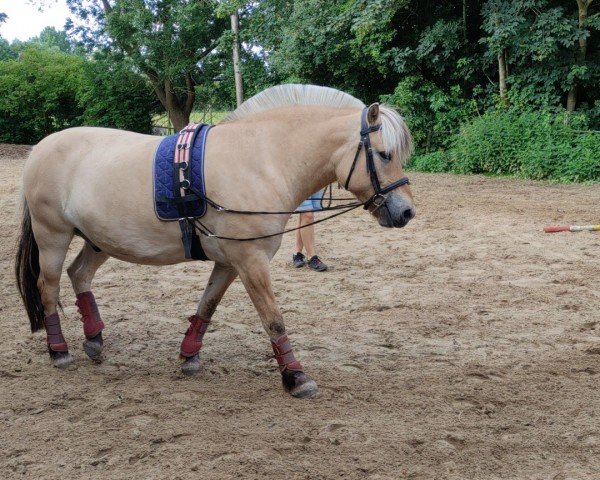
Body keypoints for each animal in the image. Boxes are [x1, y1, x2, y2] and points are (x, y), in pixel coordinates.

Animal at [15, 85, 418, 398]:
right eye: (384, 154)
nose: (406, 211)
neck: (262, 160)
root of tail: (39, 148)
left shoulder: (229, 262)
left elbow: (207, 306)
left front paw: (190, 355)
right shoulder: (251, 260)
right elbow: (273, 319)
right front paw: (296, 376)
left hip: (99, 240)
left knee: (79, 274)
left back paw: (94, 339)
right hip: (53, 236)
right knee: (49, 287)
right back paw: (59, 350)